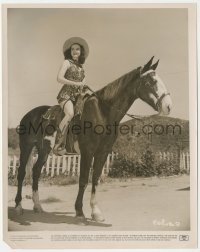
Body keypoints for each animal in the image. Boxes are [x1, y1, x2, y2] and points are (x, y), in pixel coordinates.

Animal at [14, 56, 172, 222]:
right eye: (149, 82)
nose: (168, 106)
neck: (102, 112)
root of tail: (30, 114)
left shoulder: (103, 152)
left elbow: (95, 178)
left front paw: (96, 212)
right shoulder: (87, 152)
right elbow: (83, 179)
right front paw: (79, 211)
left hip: (44, 150)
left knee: (36, 172)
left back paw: (38, 206)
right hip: (26, 147)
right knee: (21, 173)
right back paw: (18, 207)